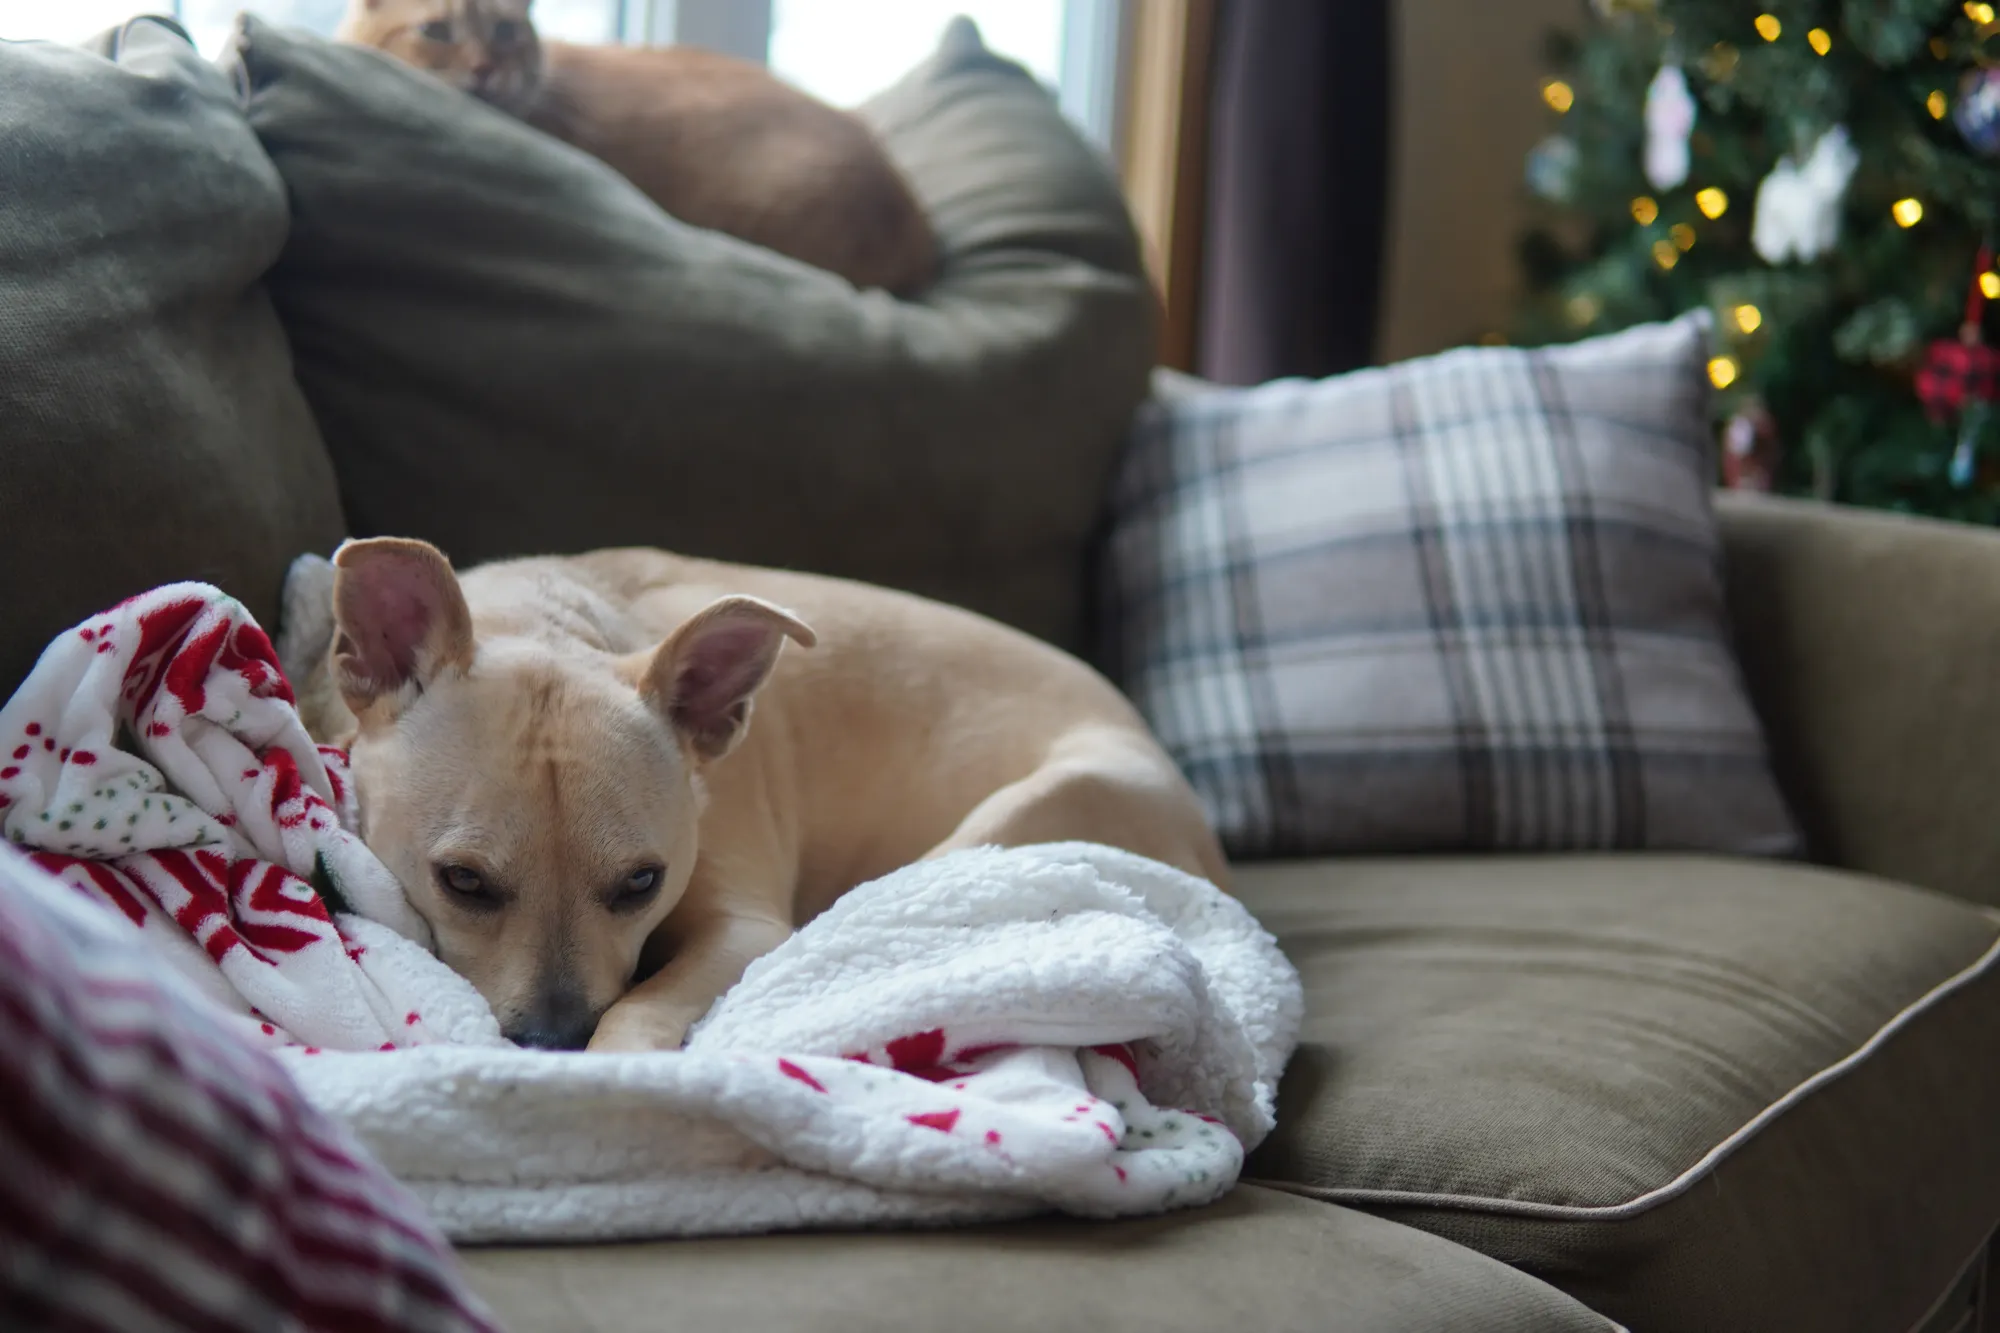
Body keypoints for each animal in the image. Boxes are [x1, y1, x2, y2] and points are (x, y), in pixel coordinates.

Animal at [308, 536, 1232, 1048]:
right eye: (462, 881)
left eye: (642, 883)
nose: (554, 1043)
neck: (553, 620)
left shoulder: (741, 927)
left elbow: (642, 1005)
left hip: (1028, 808)